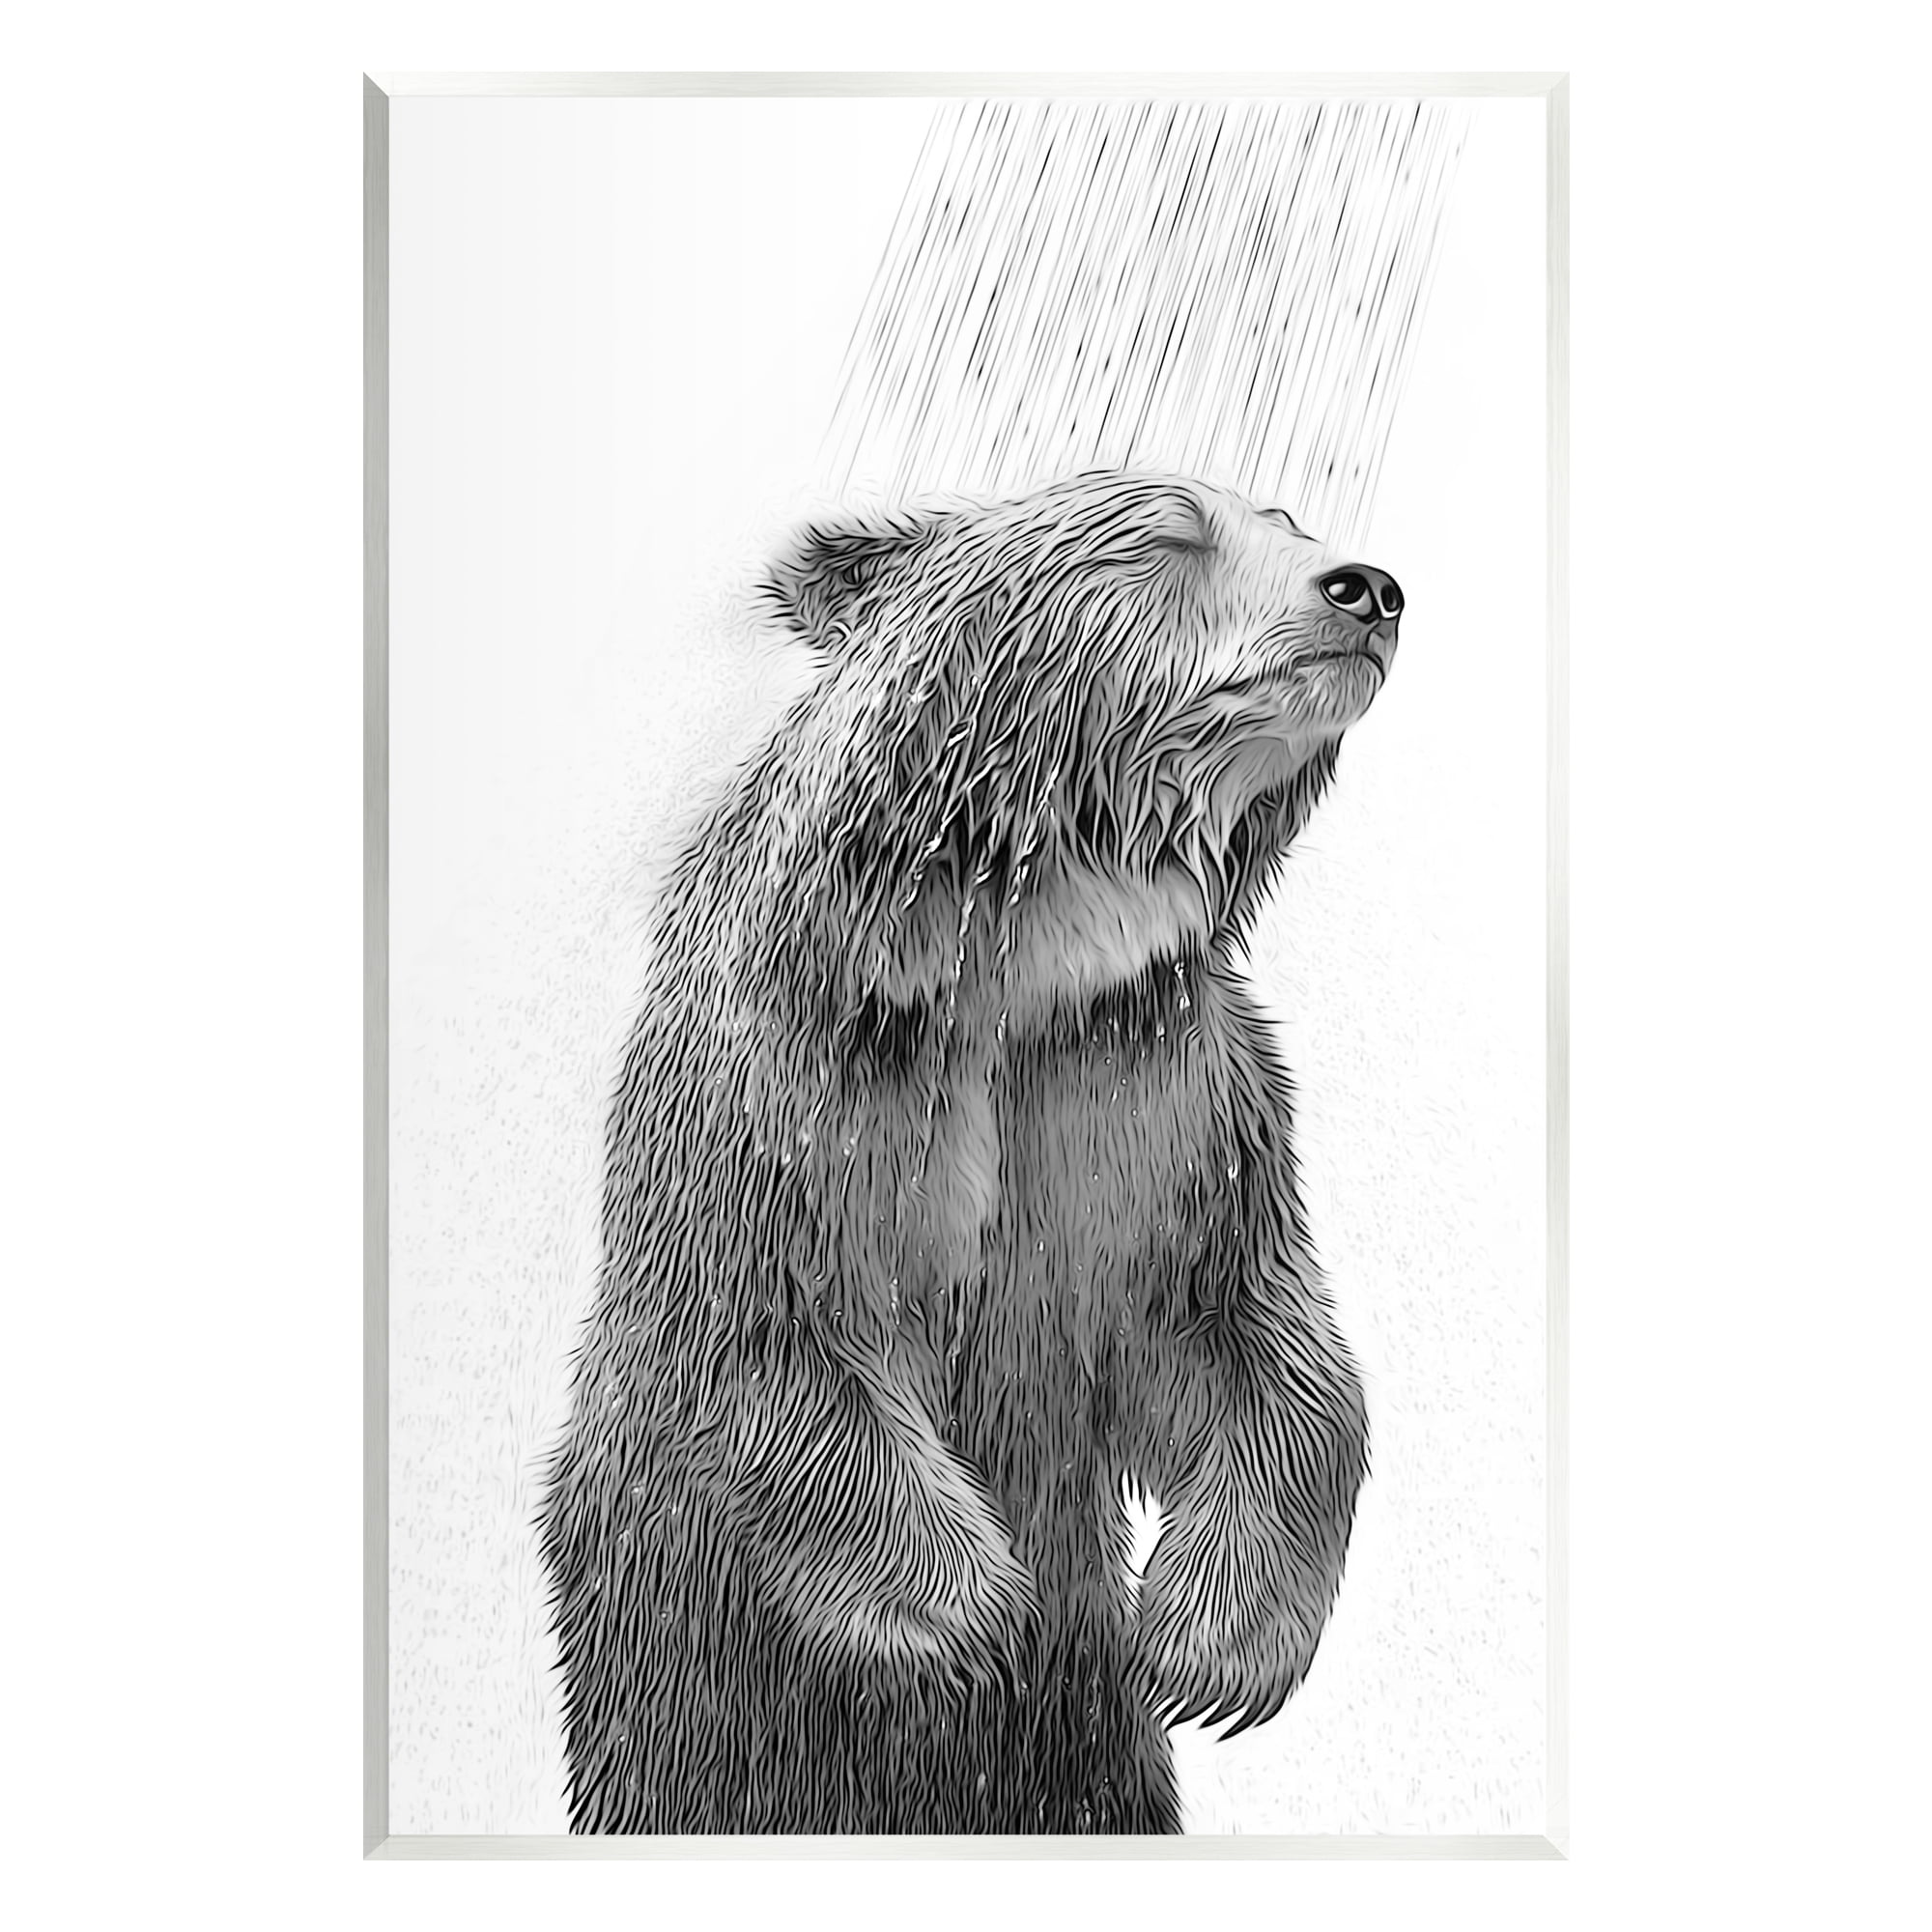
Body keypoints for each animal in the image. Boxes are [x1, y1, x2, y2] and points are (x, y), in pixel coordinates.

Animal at [538, 469, 1401, 1834]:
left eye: (1289, 524)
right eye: (1167, 534)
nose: (1365, 587)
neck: (1024, 953)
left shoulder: (1156, 1084)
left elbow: (1242, 1325)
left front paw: (1205, 1647)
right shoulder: (807, 1072)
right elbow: (767, 1318)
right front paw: (968, 1615)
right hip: (675, 1687)